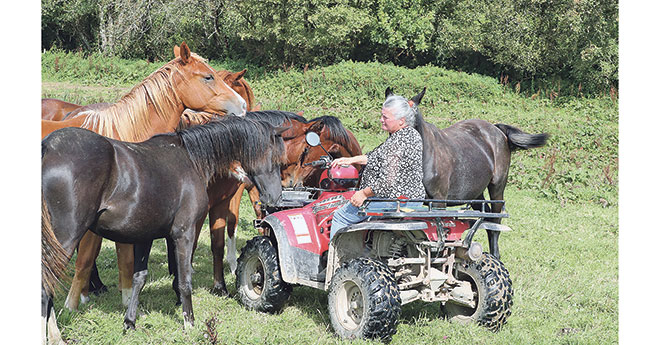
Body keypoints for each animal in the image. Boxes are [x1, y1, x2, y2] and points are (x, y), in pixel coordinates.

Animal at [42, 41, 248, 310]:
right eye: (208, 77)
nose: (242, 106)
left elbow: (126, 258)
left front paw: (127, 298)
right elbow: (86, 259)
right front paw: (74, 304)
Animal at [42, 115, 284, 342]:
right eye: (274, 158)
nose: (275, 198)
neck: (190, 159)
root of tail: (48, 148)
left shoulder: (144, 236)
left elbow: (139, 278)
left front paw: (129, 322)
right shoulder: (184, 234)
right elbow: (185, 280)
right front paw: (189, 323)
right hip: (64, 242)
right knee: (46, 288)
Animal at [400, 86, 548, 258]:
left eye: (414, 115)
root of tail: (497, 130)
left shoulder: (438, 201)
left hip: (497, 188)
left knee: (495, 223)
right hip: (476, 194)